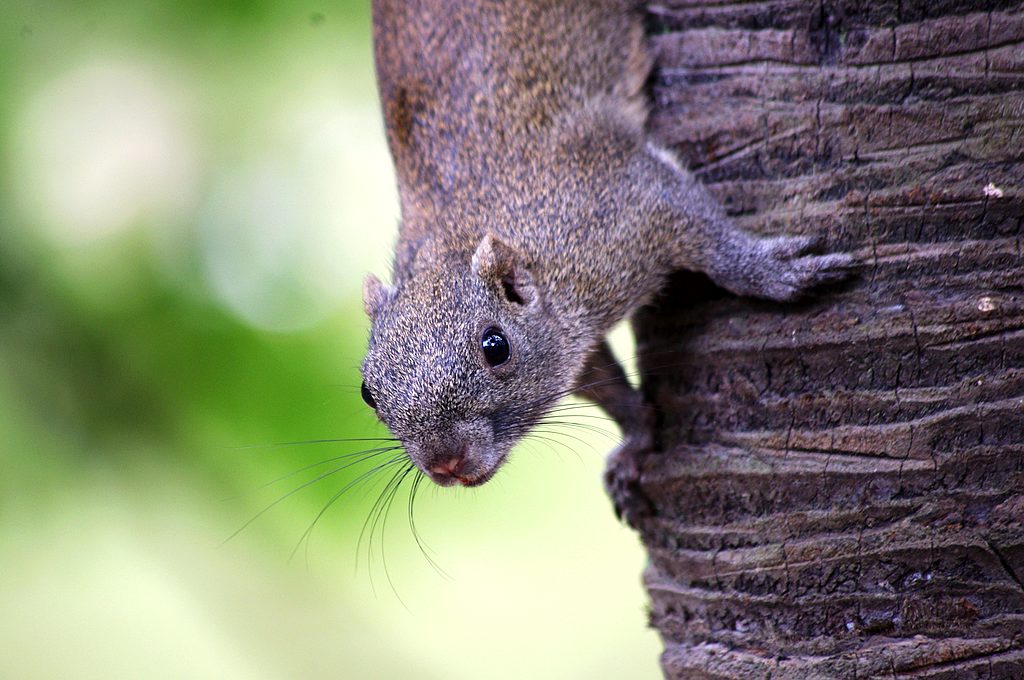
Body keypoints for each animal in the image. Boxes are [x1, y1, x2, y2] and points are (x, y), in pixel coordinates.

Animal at [358, 0, 847, 524]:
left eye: (496, 347)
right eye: (368, 391)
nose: (445, 462)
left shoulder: (627, 206)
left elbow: (707, 238)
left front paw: (771, 271)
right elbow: (602, 382)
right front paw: (638, 435)